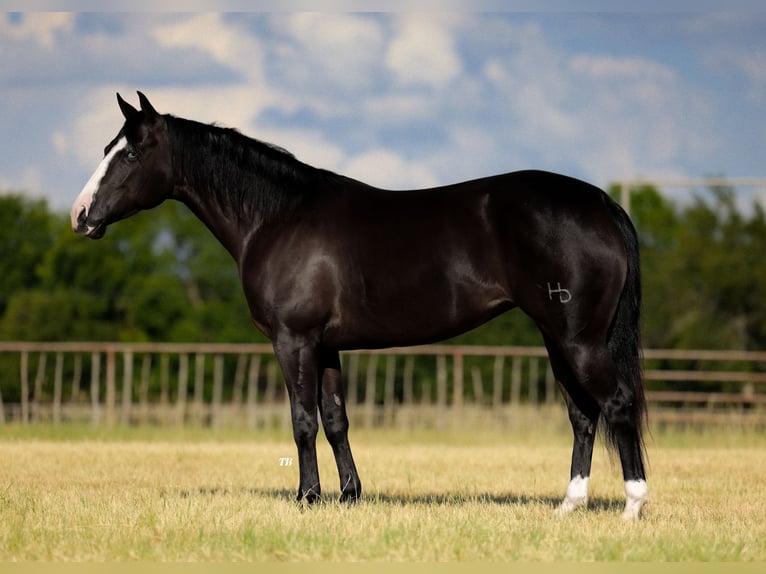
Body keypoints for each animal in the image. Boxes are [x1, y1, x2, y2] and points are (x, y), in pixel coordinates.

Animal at [70, 93, 648, 520]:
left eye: (129, 154)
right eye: (107, 147)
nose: (79, 215)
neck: (278, 217)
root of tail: (603, 204)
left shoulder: (294, 340)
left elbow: (303, 421)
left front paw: (307, 498)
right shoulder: (326, 346)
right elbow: (335, 420)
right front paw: (349, 495)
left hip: (577, 338)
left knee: (616, 404)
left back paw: (632, 507)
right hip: (558, 337)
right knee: (582, 414)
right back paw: (569, 505)